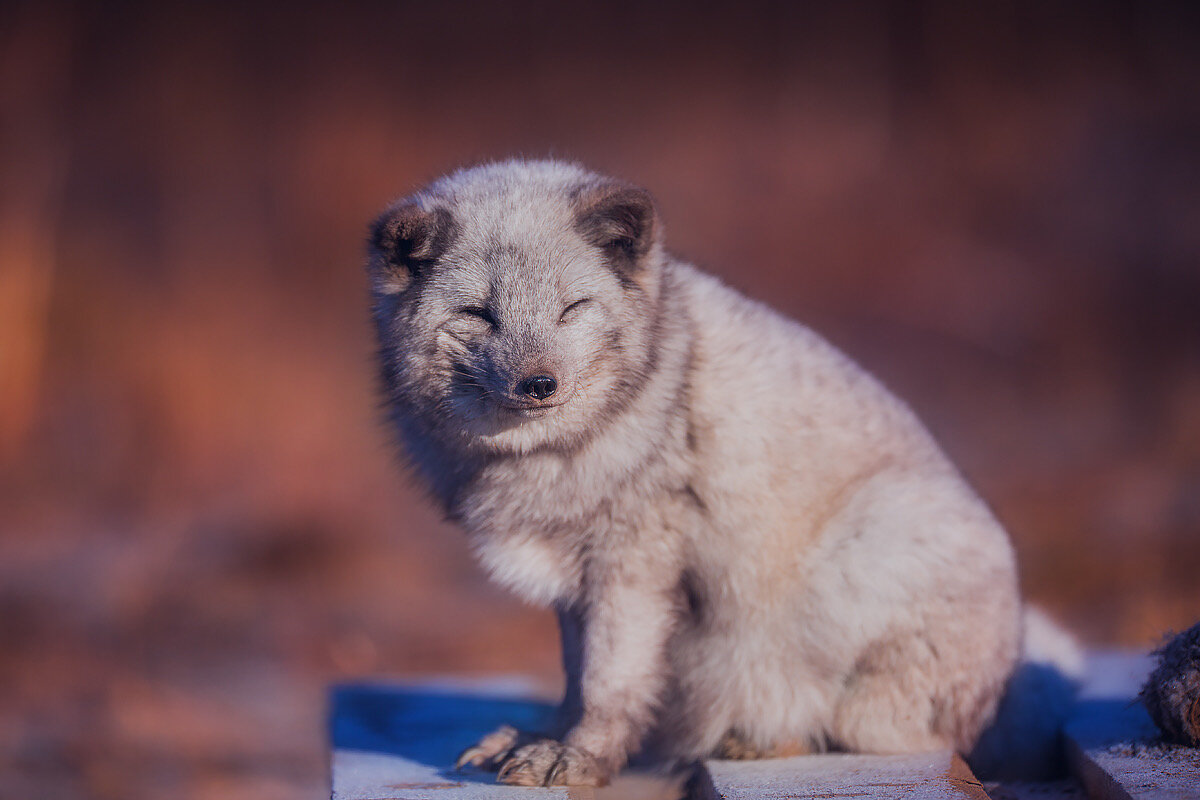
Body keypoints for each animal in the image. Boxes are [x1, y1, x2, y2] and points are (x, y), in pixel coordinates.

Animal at [367, 159, 1022, 786]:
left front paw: (580, 756)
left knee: (878, 728)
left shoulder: (632, 564)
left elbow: (608, 679)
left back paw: (763, 736)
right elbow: (575, 675)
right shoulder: (574, 578)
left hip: (855, 565)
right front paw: (543, 737)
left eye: (572, 307)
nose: (539, 384)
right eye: (478, 313)